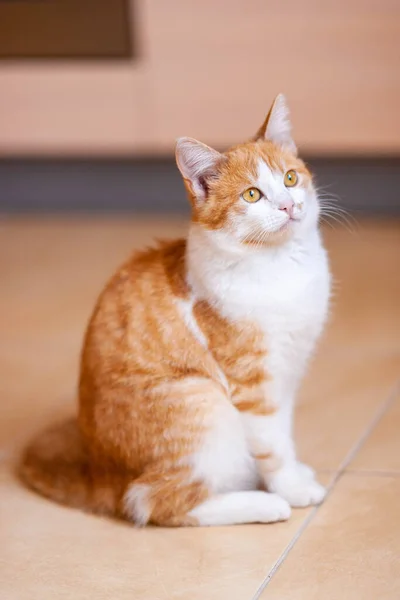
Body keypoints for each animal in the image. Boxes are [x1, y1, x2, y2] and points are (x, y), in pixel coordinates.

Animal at [19, 94, 332, 524]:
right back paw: (263, 504)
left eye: (289, 178)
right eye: (252, 195)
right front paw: (292, 488)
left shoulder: (287, 374)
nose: (288, 206)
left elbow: (284, 434)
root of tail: (99, 474)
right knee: (154, 501)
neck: (279, 266)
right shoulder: (254, 386)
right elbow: (272, 446)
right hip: (201, 402)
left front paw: (295, 473)